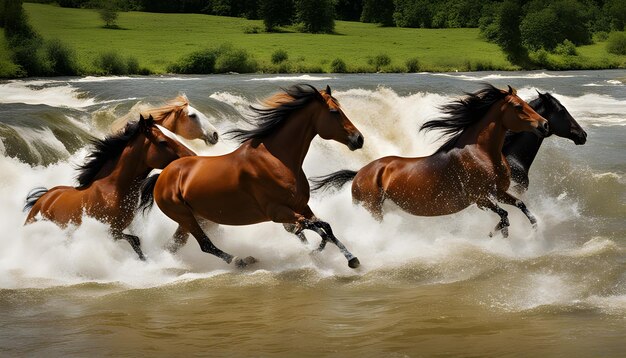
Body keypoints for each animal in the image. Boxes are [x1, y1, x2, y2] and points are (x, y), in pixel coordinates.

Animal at [24, 116, 196, 258]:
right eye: (163, 142)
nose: (191, 155)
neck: (113, 189)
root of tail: (43, 199)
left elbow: (136, 243)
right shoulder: (110, 231)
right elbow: (135, 240)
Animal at [139, 84, 364, 268]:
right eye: (334, 112)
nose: (359, 139)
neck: (277, 159)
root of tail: (162, 175)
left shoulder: (301, 206)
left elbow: (325, 227)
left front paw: (350, 258)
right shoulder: (278, 211)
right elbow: (318, 226)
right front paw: (325, 252)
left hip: (191, 219)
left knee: (174, 246)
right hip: (185, 217)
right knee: (205, 245)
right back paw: (239, 260)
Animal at [310, 84, 544, 238]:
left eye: (526, 103)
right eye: (518, 107)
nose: (544, 124)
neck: (481, 153)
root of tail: (359, 173)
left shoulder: (498, 192)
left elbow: (520, 205)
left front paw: (533, 230)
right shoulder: (479, 198)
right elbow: (504, 215)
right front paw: (495, 233)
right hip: (372, 210)